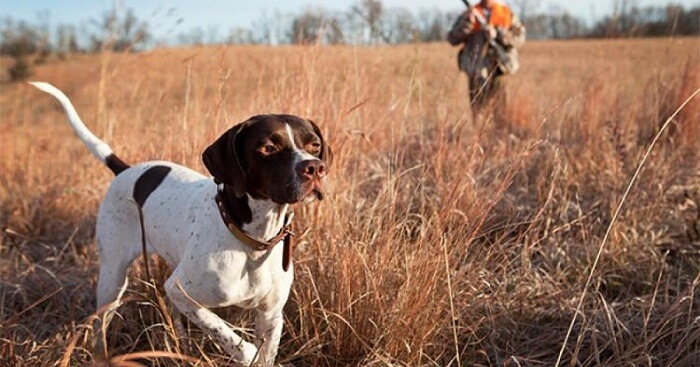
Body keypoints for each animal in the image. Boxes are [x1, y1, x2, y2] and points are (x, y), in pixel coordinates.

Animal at [34, 82, 334, 366]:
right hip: (113, 277)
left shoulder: (270, 315)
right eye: (268, 147)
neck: (252, 241)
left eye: (314, 146)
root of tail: (126, 171)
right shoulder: (179, 289)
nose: (315, 167)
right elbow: (230, 336)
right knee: (100, 326)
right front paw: (245, 351)